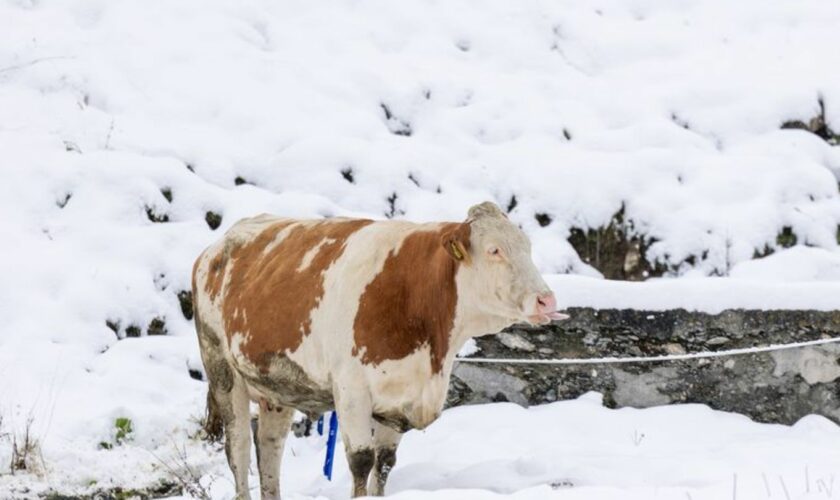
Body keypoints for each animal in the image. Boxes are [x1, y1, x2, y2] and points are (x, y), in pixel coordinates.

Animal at [194, 201, 568, 498]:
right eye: (494, 250)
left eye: (527, 248)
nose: (547, 300)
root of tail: (215, 248)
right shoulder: (351, 391)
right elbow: (362, 462)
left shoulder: (399, 398)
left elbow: (386, 463)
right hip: (222, 371)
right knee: (239, 449)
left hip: (277, 386)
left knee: (269, 447)